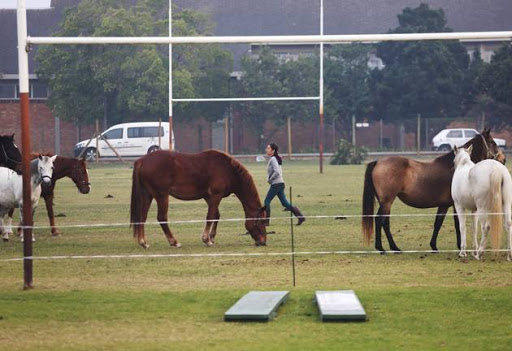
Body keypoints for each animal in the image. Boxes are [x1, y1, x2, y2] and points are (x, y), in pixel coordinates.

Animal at [130, 150, 268, 249]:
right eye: (261, 222)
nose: (263, 242)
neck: (226, 169)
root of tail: (142, 161)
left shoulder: (209, 197)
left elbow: (216, 215)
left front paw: (211, 237)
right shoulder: (216, 195)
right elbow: (210, 216)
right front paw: (207, 240)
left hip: (148, 195)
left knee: (142, 217)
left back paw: (143, 242)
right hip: (161, 196)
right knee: (162, 218)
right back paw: (174, 242)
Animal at [362, 129, 506, 253]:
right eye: (493, 143)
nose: (503, 159)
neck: (459, 168)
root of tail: (378, 162)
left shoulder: (444, 205)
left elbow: (438, 223)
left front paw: (434, 246)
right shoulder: (455, 204)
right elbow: (457, 223)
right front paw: (459, 245)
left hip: (386, 202)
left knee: (384, 221)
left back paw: (392, 248)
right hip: (387, 201)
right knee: (380, 220)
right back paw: (383, 248)